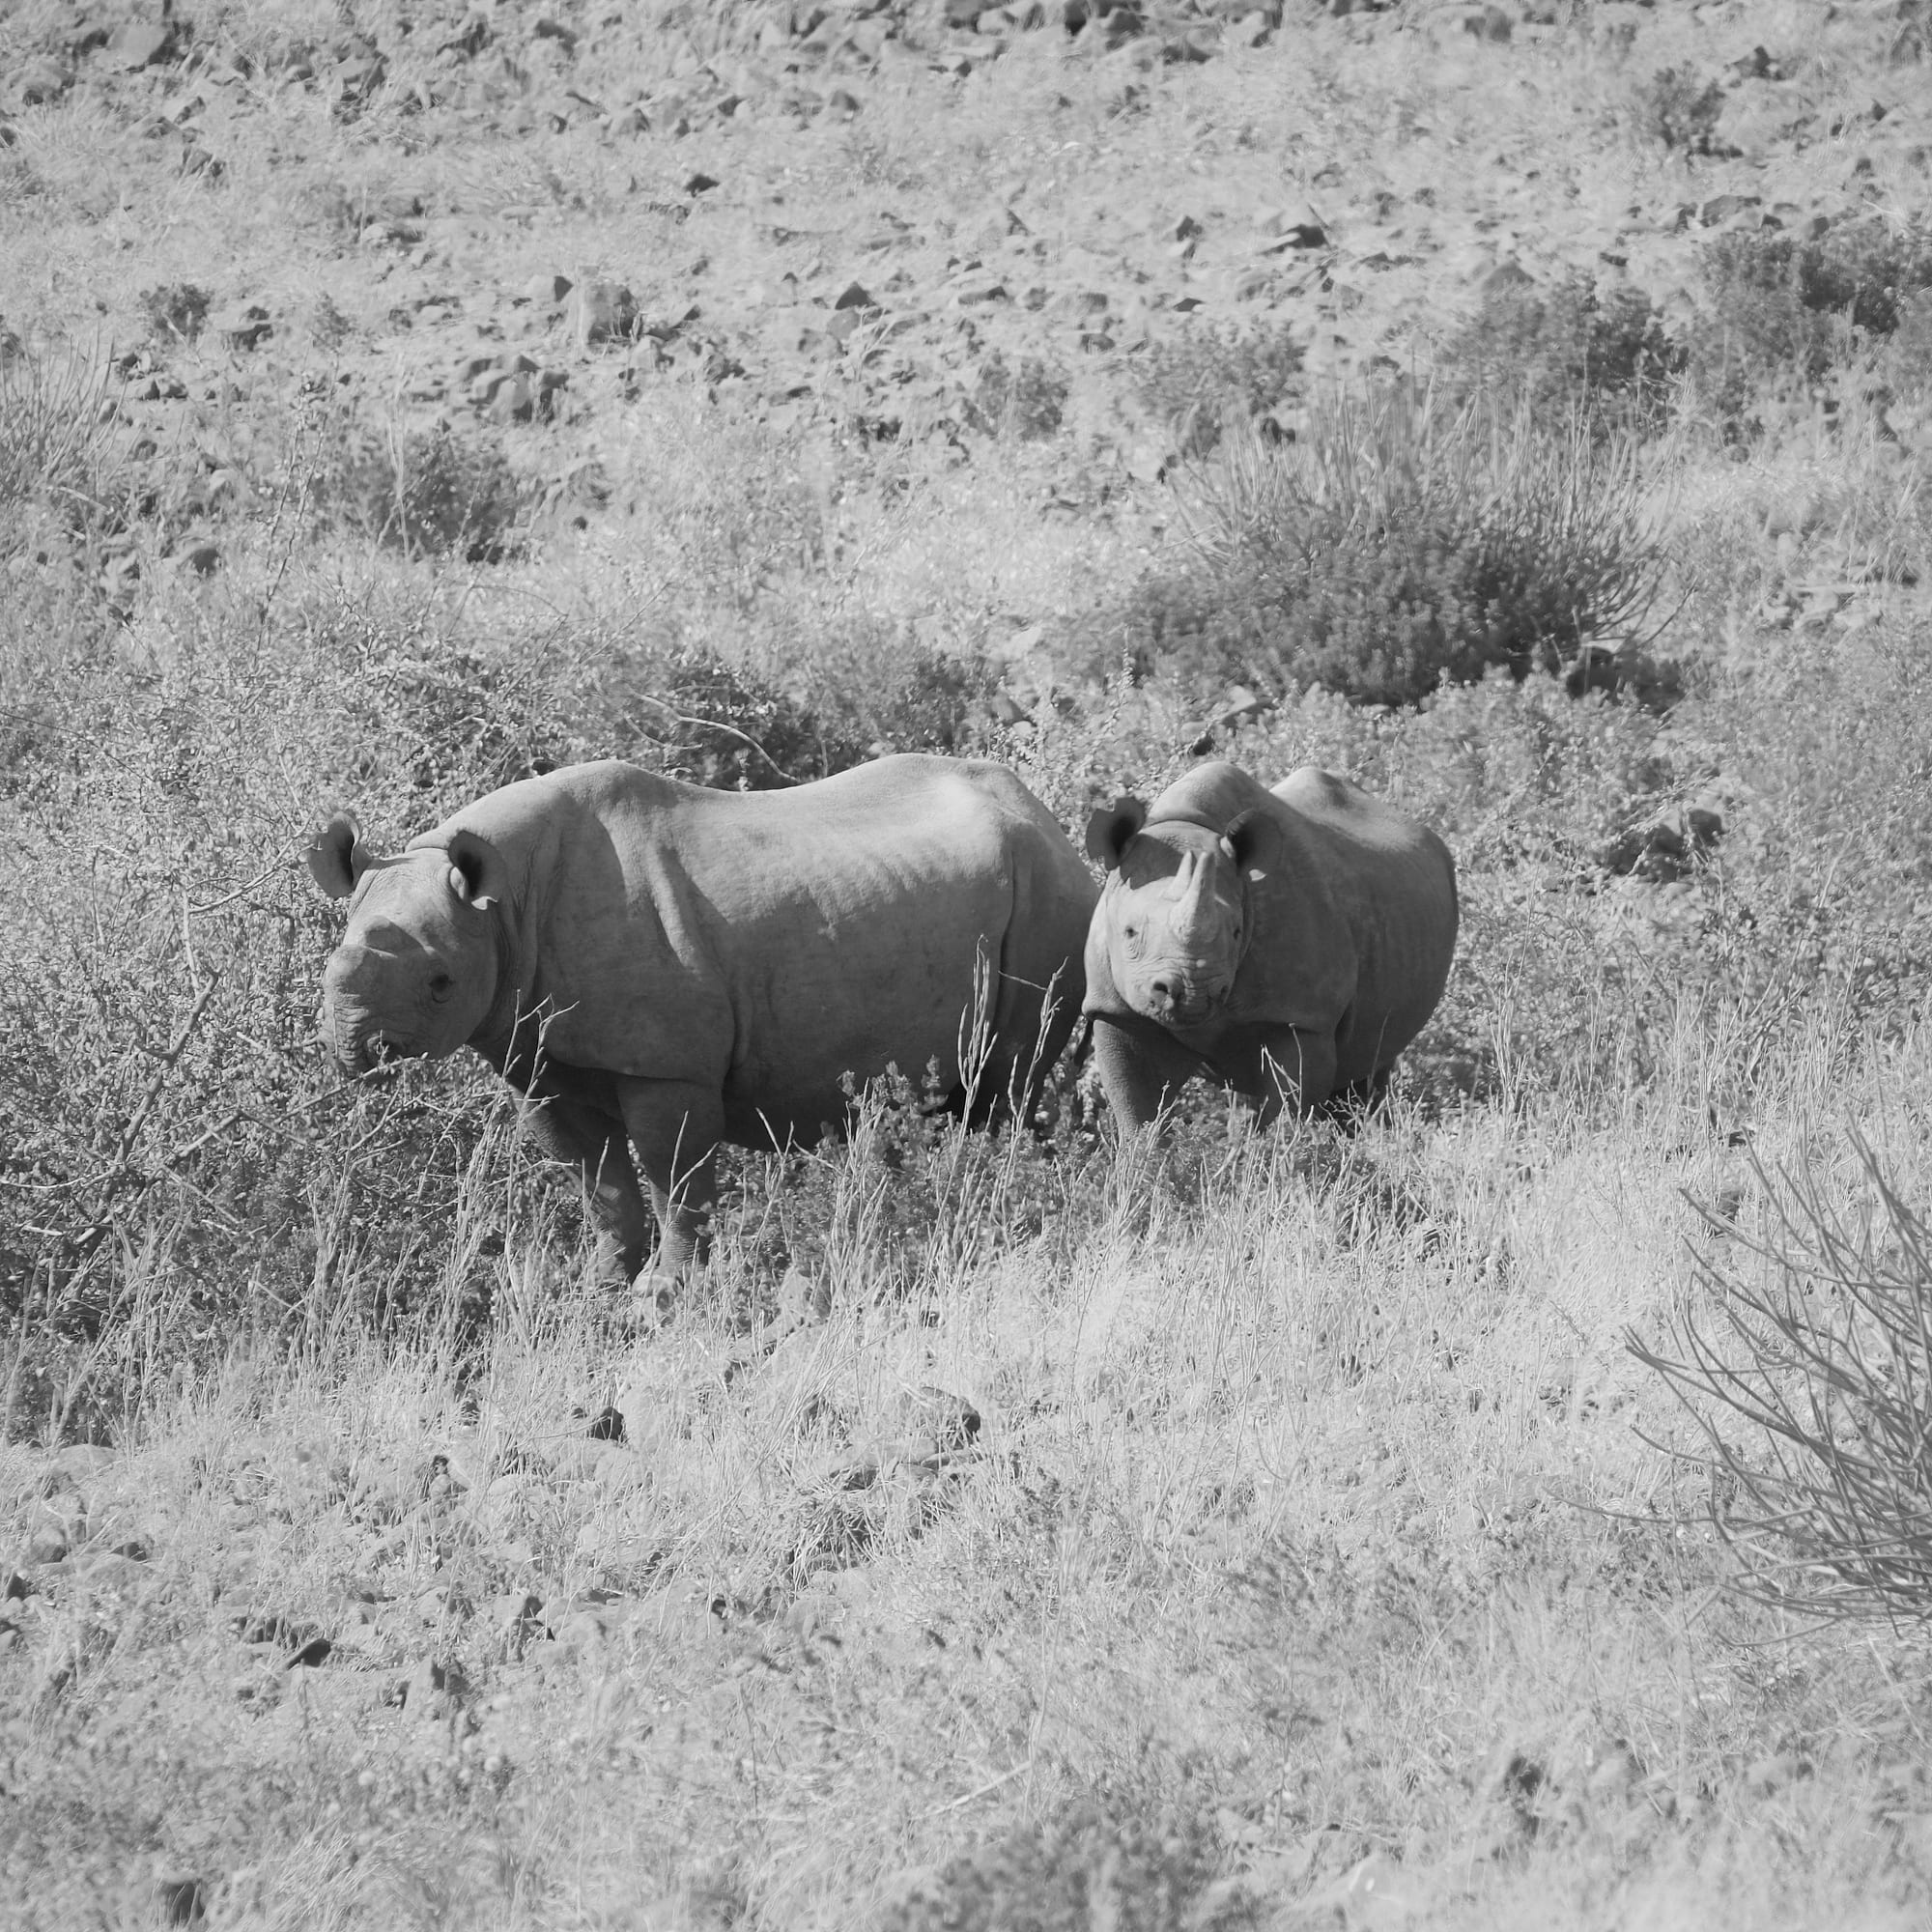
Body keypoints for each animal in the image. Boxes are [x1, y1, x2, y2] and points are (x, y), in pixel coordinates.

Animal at [308, 755, 1096, 1292]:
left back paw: (1016, 1219)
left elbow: (672, 1173)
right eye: (329, 961)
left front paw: (666, 1291)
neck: (504, 906)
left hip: (1051, 899)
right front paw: (598, 1285)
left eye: (441, 984)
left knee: (1011, 1086)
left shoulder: (666, 1067)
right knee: (953, 1097)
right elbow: (597, 1183)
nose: (353, 1048)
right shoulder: (540, 1060)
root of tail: (1054, 824)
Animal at [1082, 761, 1457, 1130]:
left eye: (1236, 932)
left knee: (1367, 1068)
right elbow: (1138, 1110)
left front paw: (1280, 1147)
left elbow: (1290, 1105)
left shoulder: (1303, 1017)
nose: (1192, 993)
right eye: (1130, 932)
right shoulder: (1116, 1008)